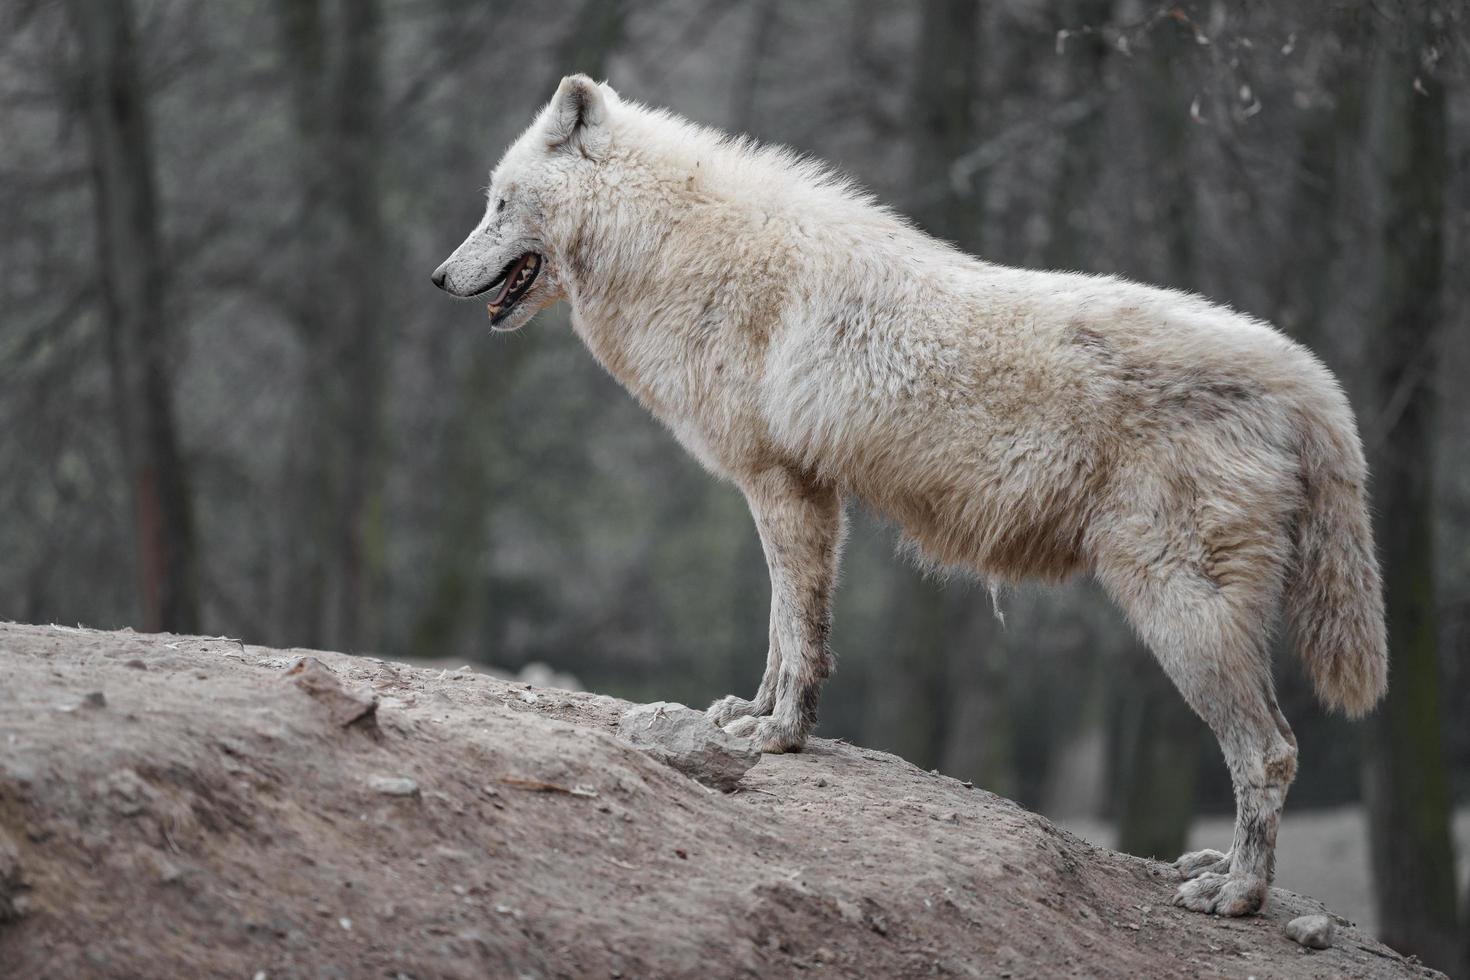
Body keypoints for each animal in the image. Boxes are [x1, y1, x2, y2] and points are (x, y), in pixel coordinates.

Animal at [429, 76, 1381, 922]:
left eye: (501, 203)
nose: (437, 278)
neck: (678, 245)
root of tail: (1312, 383)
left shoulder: (781, 485)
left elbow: (796, 635)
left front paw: (780, 735)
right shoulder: (801, 492)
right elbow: (786, 630)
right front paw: (754, 717)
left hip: (1180, 614)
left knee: (1271, 753)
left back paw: (1238, 896)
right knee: (1271, 749)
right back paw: (1218, 870)